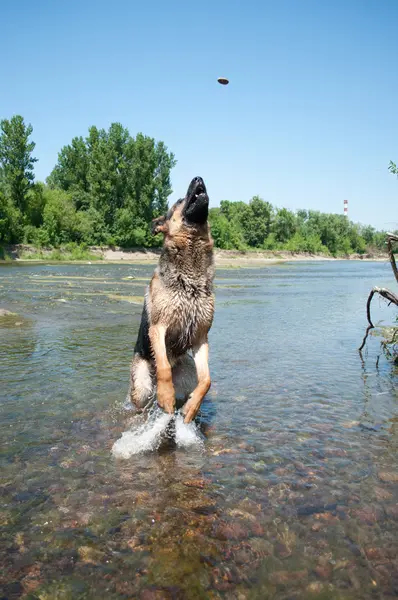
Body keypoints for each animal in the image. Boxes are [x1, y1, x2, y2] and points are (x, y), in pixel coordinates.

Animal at [129, 176, 215, 424]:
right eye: (178, 201)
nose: (198, 178)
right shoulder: (159, 328)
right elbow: (164, 367)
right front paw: (165, 397)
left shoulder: (201, 337)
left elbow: (207, 380)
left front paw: (191, 408)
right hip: (142, 385)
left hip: (187, 372)